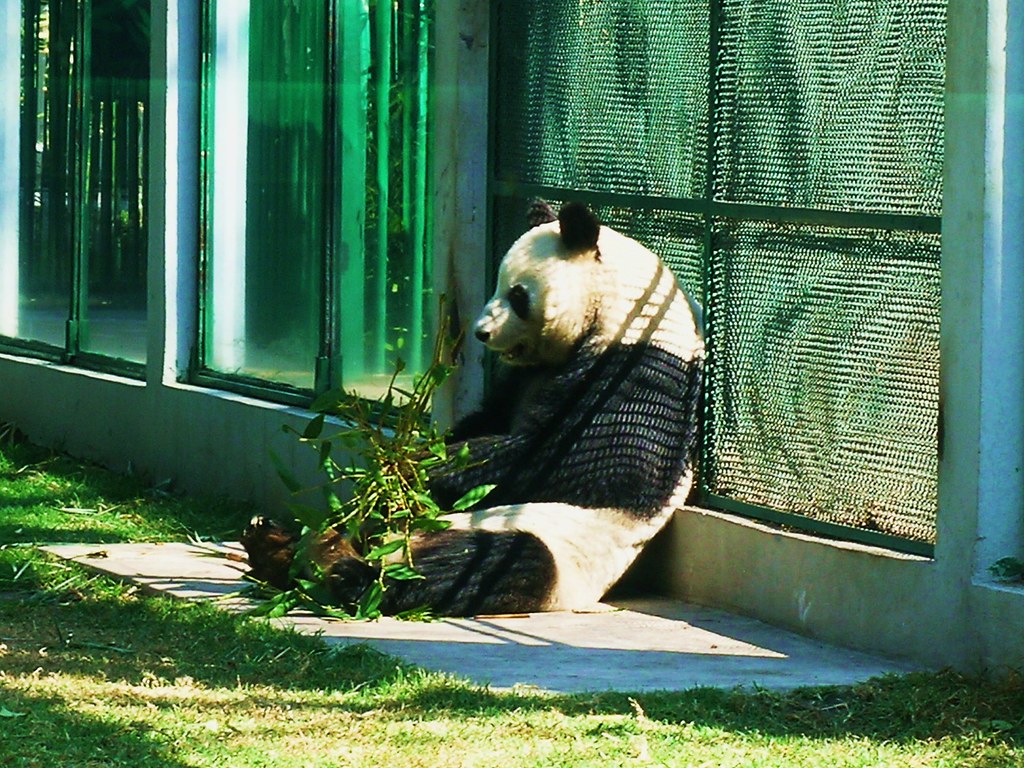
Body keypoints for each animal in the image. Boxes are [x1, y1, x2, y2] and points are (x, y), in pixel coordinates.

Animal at [243, 201, 704, 616]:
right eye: (498, 284)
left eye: (517, 295)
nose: (482, 332)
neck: (620, 309)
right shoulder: (525, 376)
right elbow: (485, 421)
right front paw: (398, 466)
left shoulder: (638, 373)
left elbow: (582, 461)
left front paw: (421, 471)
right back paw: (282, 546)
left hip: (560, 548)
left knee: (488, 563)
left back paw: (348, 573)